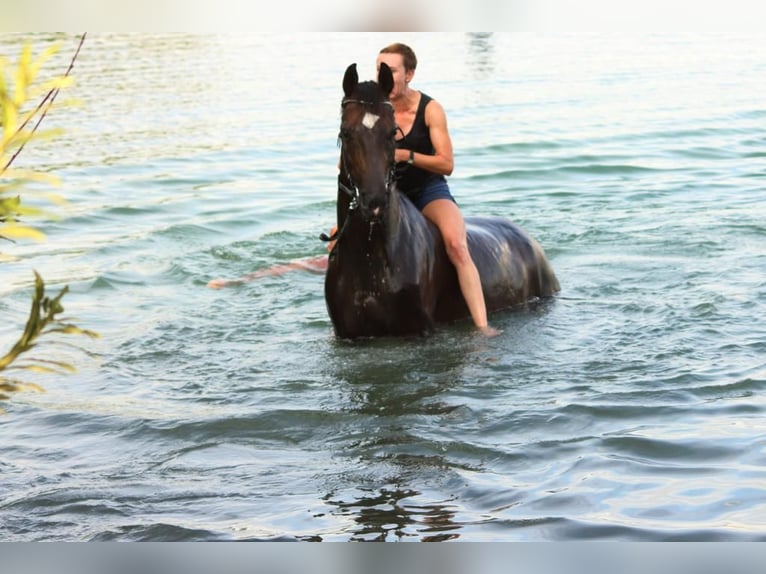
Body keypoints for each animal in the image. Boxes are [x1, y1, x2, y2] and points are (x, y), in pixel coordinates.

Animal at [320, 62, 560, 342]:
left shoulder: (421, 330)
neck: (370, 259)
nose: (375, 201)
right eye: (346, 133)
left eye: (392, 133)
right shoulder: (347, 336)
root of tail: (531, 242)